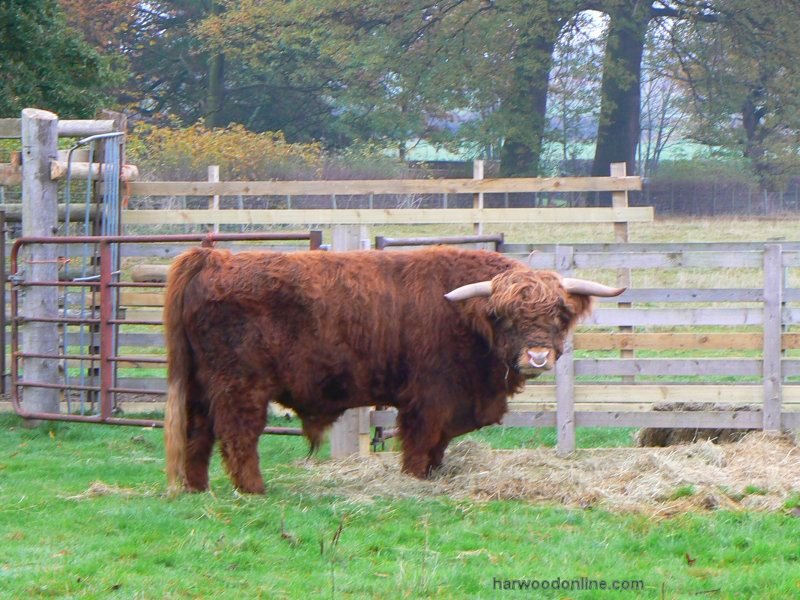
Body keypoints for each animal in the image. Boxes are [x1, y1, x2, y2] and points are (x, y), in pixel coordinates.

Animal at [163, 245, 623, 493]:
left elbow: (438, 447)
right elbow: (420, 445)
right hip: (240, 385)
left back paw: (197, 488)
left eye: (559, 314)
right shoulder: (428, 399)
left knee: (197, 432)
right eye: (505, 317)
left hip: (202, 384)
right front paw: (416, 479)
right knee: (237, 434)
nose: (538, 357)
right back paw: (254, 490)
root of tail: (213, 257)